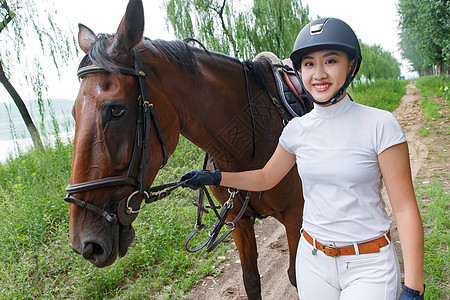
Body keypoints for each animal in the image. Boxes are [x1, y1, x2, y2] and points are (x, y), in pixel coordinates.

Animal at [66, 0, 306, 298]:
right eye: (74, 113)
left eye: (116, 110)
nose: (84, 243)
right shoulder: (237, 222)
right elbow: (251, 280)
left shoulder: (295, 215)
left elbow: (297, 276)